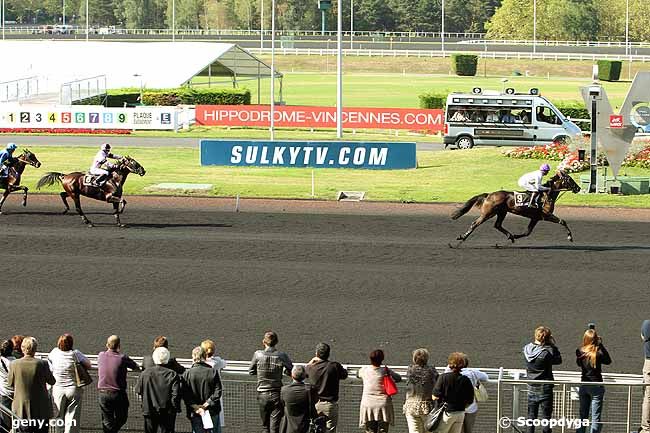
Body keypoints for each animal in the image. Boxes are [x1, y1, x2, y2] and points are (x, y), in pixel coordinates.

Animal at [448, 170, 580, 245]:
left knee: (497, 225)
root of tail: (489, 195)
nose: (578, 188)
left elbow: (527, 232)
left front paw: (515, 236)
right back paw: (462, 237)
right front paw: (570, 237)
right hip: (488, 213)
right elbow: (562, 221)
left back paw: (510, 236)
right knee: (475, 223)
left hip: (502, 212)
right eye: (569, 179)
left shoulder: (536, 218)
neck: (547, 195)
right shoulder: (546, 215)